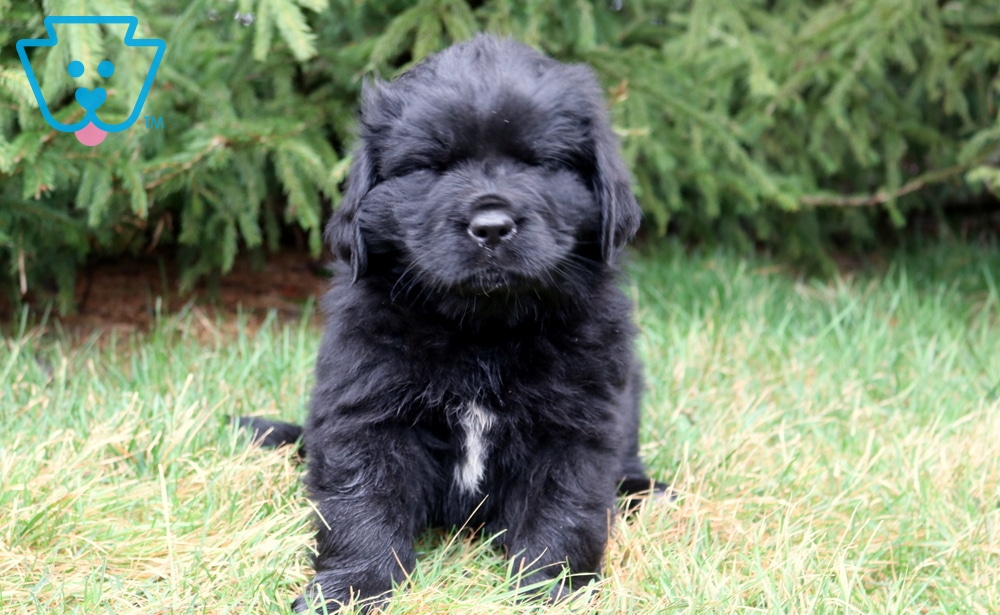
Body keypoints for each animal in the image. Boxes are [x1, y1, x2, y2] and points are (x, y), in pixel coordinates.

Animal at [242, 34, 667, 613]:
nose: (491, 226)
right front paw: (350, 589)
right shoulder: (367, 410)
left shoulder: (579, 420)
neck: (482, 331)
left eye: (538, 163)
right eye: (431, 167)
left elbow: (564, 505)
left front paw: (550, 588)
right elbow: (361, 503)